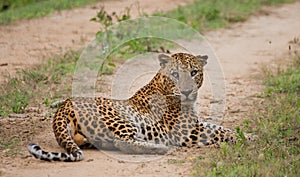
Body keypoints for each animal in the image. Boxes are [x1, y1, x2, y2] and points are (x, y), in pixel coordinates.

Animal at [27, 52, 254, 162]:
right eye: (175, 74)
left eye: (194, 72)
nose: (187, 91)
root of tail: (63, 106)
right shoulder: (186, 132)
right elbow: (220, 132)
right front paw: (249, 138)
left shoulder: (195, 124)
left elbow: (220, 128)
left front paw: (248, 134)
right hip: (122, 119)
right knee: (123, 143)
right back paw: (162, 147)